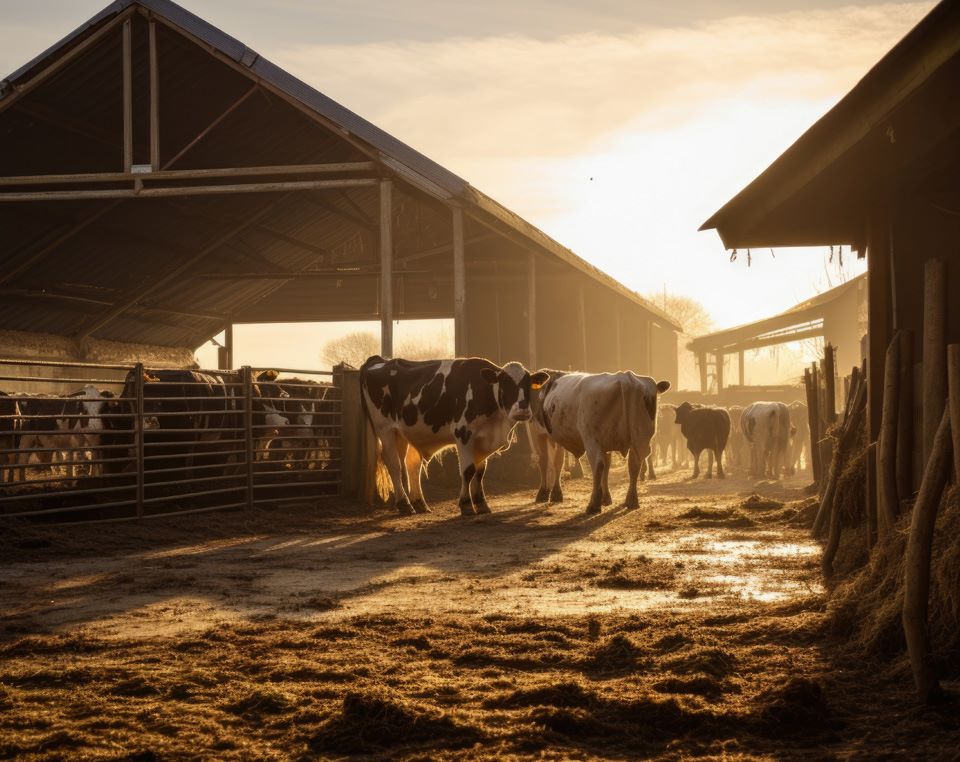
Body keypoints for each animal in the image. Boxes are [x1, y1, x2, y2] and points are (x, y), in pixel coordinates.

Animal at [360, 356, 548, 516]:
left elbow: (480, 472)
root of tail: (380, 360)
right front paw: (466, 505)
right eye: (505, 383)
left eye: (528, 384)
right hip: (386, 429)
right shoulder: (463, 434)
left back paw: (419, 503)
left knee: (411, 465)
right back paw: (404, 504)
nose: (522, 411)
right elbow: (468, 470)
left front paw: (481, 504)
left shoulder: (482, 440)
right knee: (394, 464)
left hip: (407, 432)